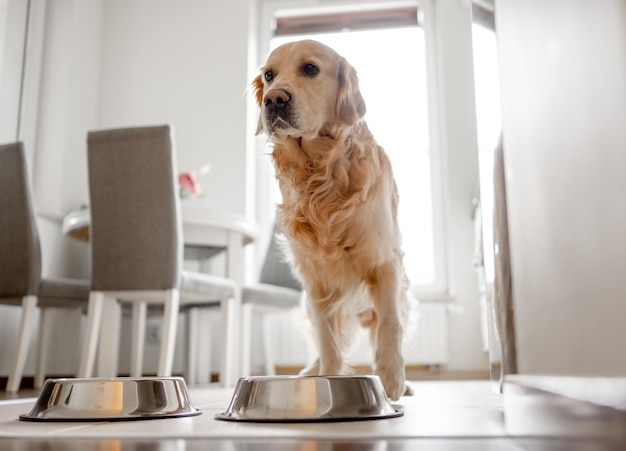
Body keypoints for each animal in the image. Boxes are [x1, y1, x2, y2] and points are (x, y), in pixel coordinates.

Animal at [252, 38, 410, 400]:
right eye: (269, 75)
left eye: (310, 69)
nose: (274, 99)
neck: (321, 176)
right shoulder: (316, 280)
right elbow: (328, 343)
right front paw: (328, 381)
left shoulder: (384, 261)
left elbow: (390, 325)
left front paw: (392, 379)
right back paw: (309, 372)